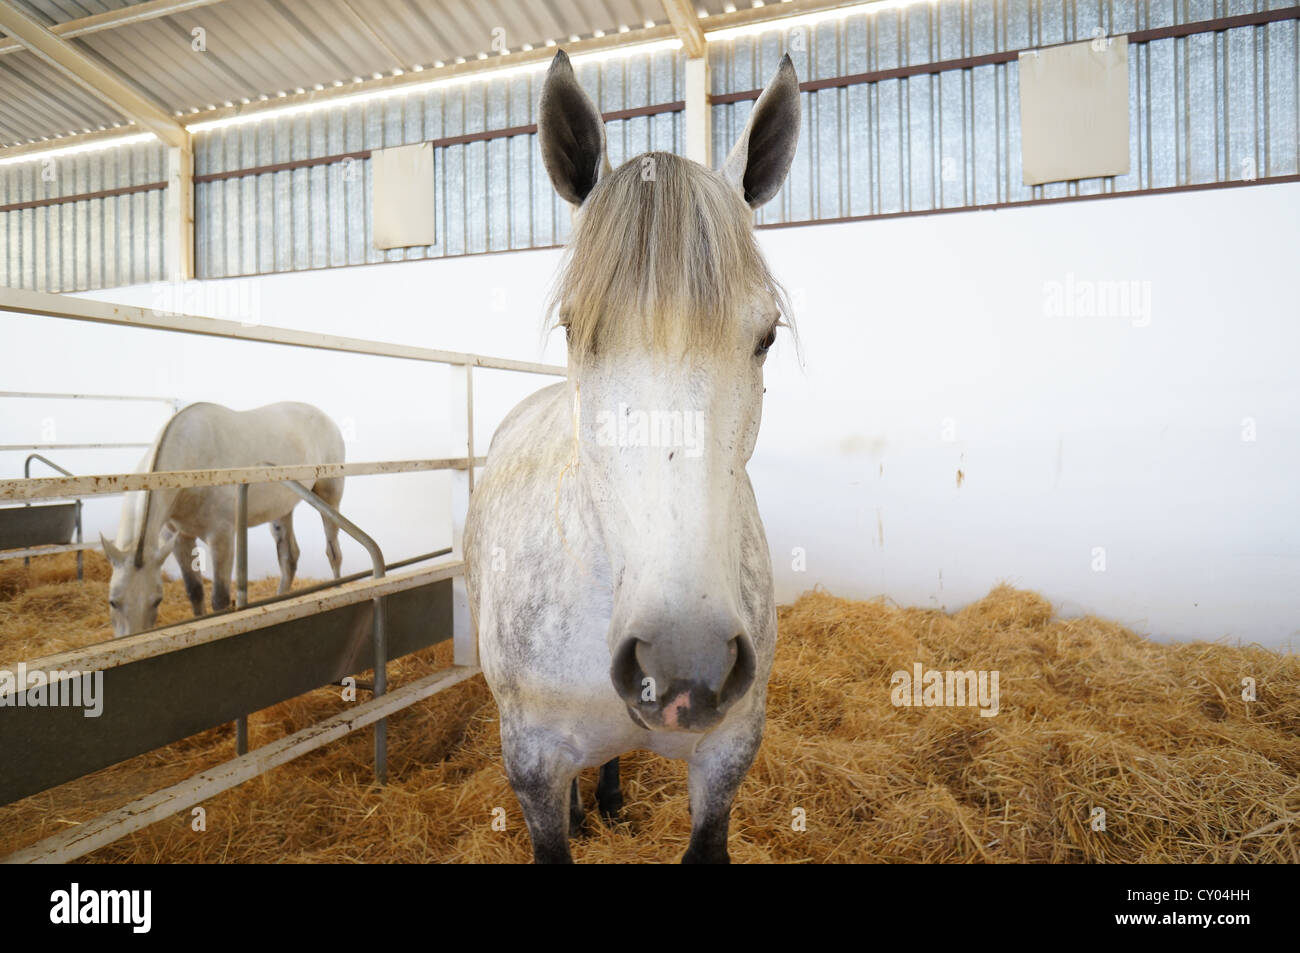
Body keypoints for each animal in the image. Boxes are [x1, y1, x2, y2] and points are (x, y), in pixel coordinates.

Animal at [101, 397, 345, 634]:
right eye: (113, 602)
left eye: (157, 601)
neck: (191, 467)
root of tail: (328, 419)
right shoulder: (178, 537)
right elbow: (195, 591)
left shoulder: (221, 536)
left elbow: (220, 600)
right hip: (282, 509)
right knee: (289, 558)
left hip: (328, 498)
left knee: (333, 552)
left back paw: (338, 590)